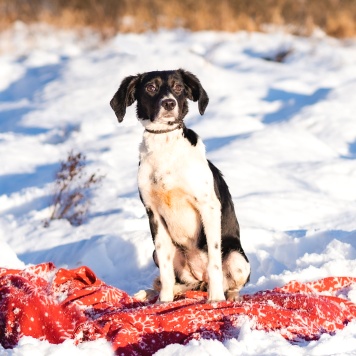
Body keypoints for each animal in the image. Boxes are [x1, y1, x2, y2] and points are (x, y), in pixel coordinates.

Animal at [110, 68, 249, 302]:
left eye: (178, 87)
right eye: (151, 87)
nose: (168, 103)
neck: (165, 146)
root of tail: (200, 280)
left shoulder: (209, 207)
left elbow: (214, 263)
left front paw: (216, 300)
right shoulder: (154, 214)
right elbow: (166, 271)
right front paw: (163, 302)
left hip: (237, 258)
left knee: (228, 282)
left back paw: (228, 296)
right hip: (160, 255)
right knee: (182, 283)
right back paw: (154, 293)